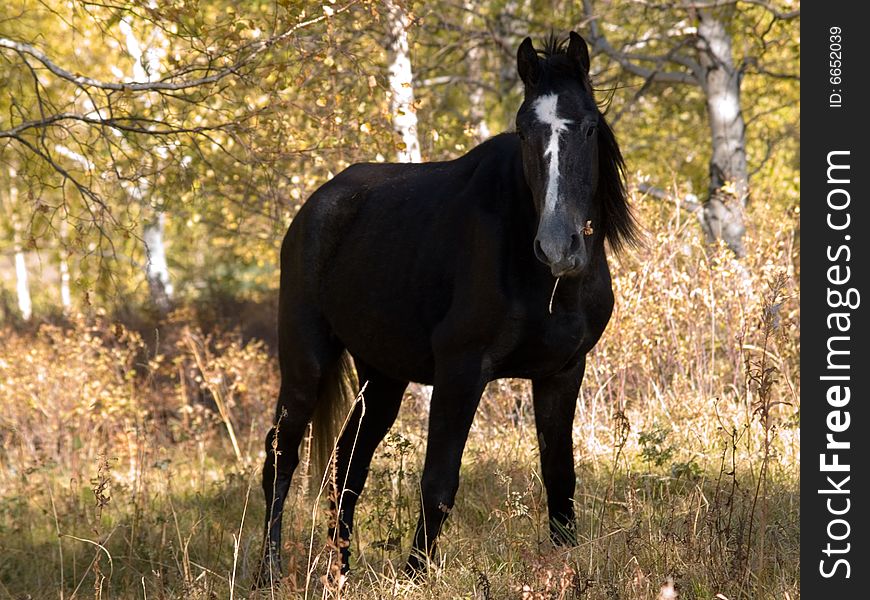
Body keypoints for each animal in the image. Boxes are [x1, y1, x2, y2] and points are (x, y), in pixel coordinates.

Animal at [255, 30, 636, 584]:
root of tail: (314, 208)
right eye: (524, 131)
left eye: (588, 127)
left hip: (382, 376)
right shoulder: (461, 371)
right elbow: (438, 482)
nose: (557, 247)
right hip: (306, 364)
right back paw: (268, 571)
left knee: (348, 462)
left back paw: (340, 570)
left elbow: (560, 479)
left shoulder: (562, 372)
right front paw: (415, 574)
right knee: (280, 458)